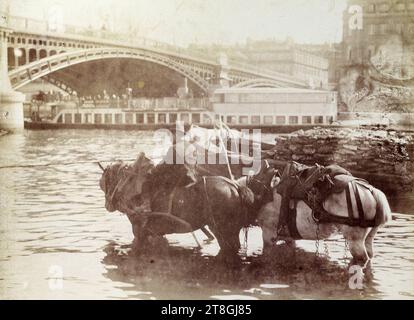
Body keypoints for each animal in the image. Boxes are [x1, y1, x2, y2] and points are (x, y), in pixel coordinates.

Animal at [98, 152, 276, 255]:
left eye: (104, 182)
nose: (107, 205)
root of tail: (235, 187)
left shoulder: (139, 230)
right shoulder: (156, 233)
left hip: (224, 231)